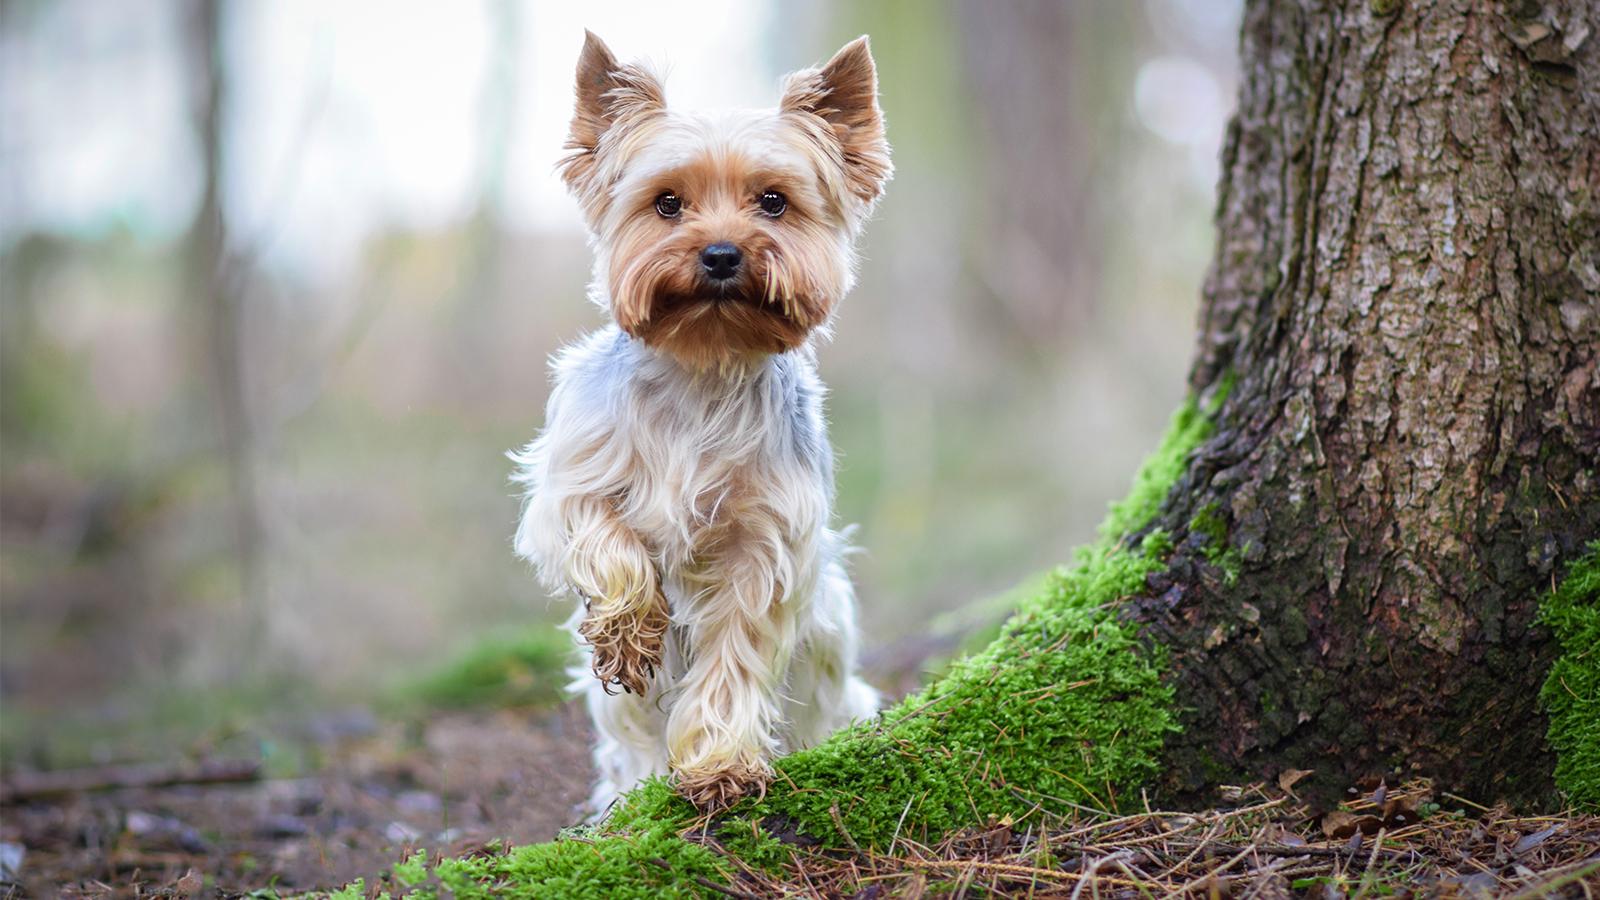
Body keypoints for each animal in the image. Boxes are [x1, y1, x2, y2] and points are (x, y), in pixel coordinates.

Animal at [508, 31, 889, 810]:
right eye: (667, 203)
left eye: (773, 202)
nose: (720, 253)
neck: (705, 364)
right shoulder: (569, 480)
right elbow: (605, 542)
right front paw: (628, 632)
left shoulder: (765, 543)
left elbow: (734, 655)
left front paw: (721, 765)